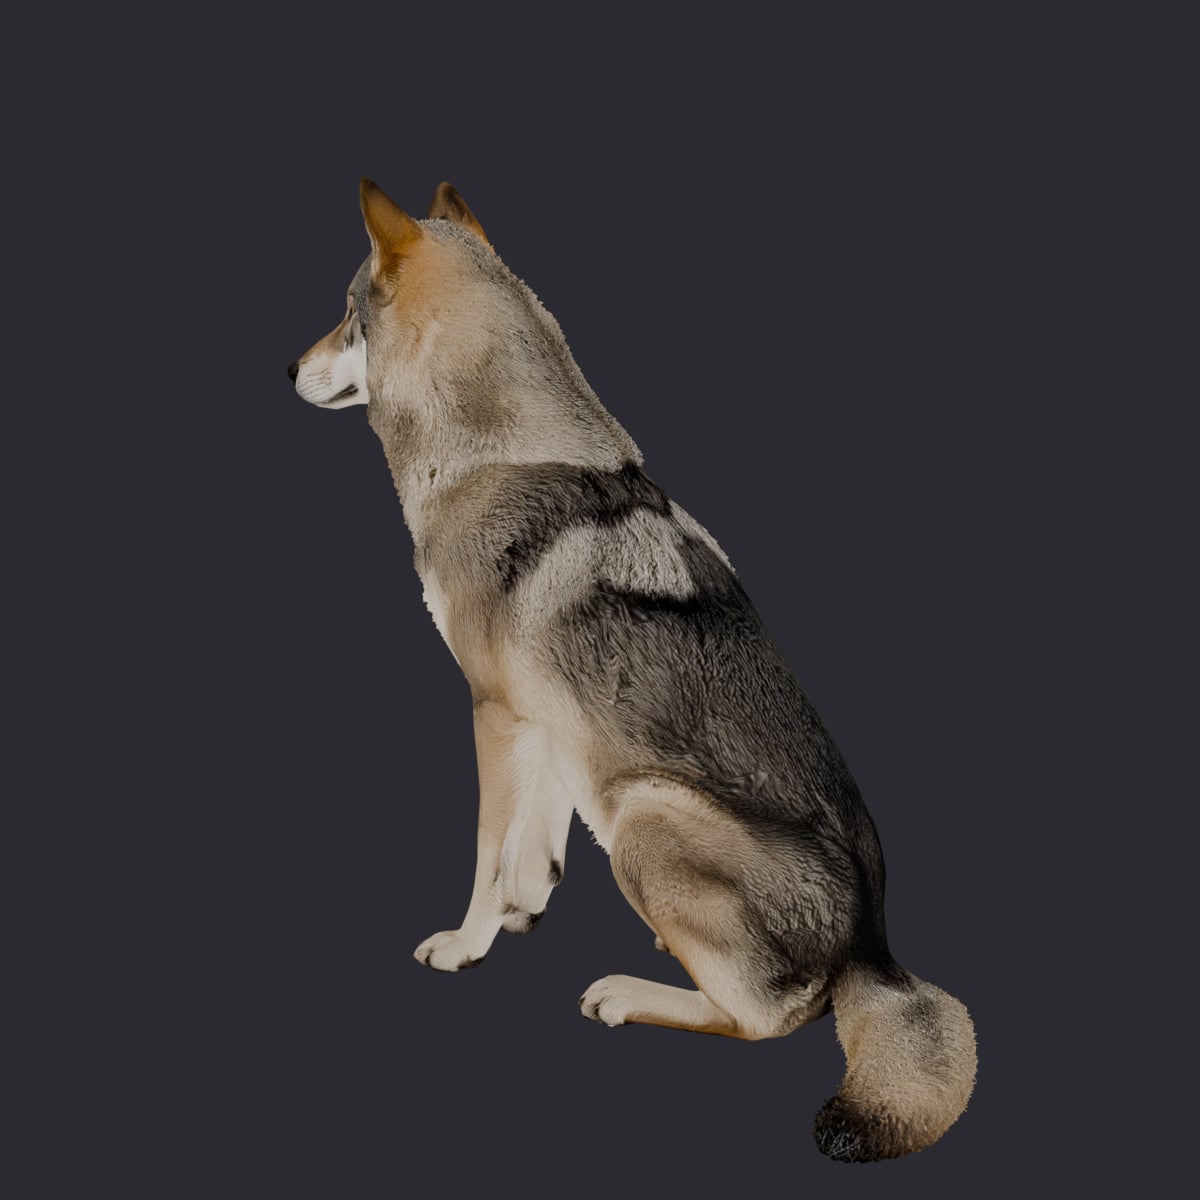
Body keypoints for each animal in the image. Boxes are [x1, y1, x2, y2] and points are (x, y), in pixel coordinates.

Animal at [289, 180, 976, 1161]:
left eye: (347, 319)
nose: (286, 369)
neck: (494, 456)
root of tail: (875, 956)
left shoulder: (493, 707)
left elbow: (484, 852)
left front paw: (467, 944)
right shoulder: (543, 711)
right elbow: (533, 838)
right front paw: (526, 905)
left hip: (642, 817)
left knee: (765, 1021)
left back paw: (625, 992)